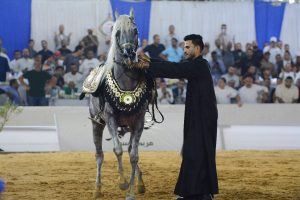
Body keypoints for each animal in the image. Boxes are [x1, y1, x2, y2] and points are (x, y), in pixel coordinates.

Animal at [88, 9, 150, 200]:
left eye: (135, 31)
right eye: (117, 33)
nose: (129, 52)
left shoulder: (138, 122)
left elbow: (133, 155)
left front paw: (131, 191)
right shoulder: (110, 120)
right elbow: (117, 150)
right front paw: (122, 182)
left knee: (130, 148)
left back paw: (140, 182)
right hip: (97, 124)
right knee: (99, 155)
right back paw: (97, 188)